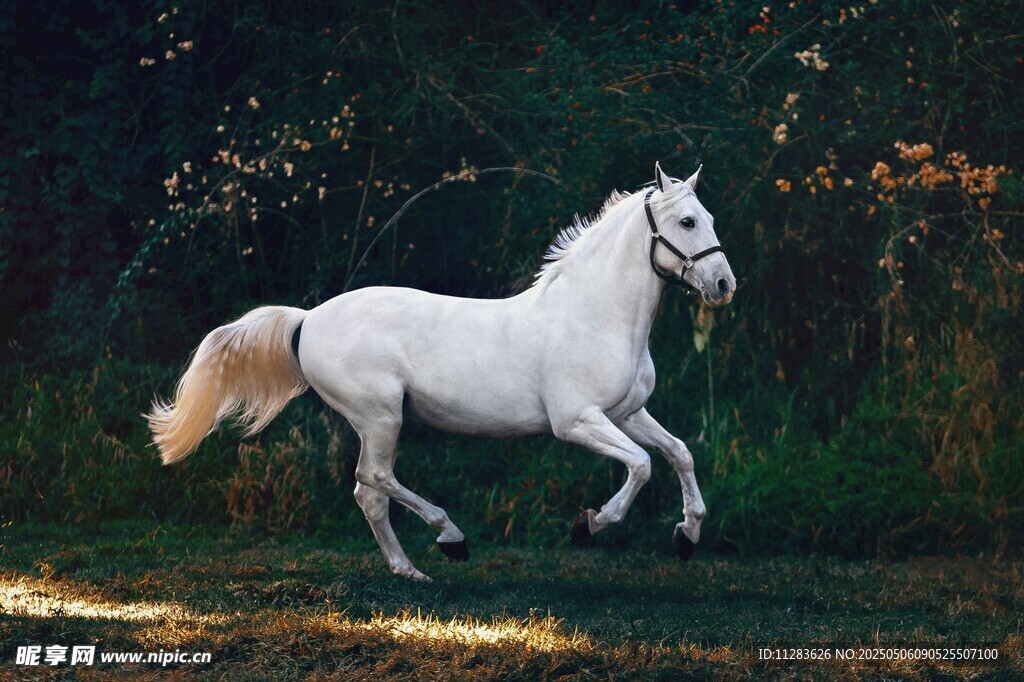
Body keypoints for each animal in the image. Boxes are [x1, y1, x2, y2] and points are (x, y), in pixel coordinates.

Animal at [147, 162, 736, 580]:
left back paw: (409, 570)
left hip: (379, 421)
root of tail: (308, 319)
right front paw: (588, 525)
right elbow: (641, 465)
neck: (594, 315)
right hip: (381, 416)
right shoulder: (577, 422)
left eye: (709, 219)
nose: (724, 285)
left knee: (368, 493)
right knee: (374, 479)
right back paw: (450, 538)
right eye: (687, 221)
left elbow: (678, 453)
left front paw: (687, 536)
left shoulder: (628, 412)